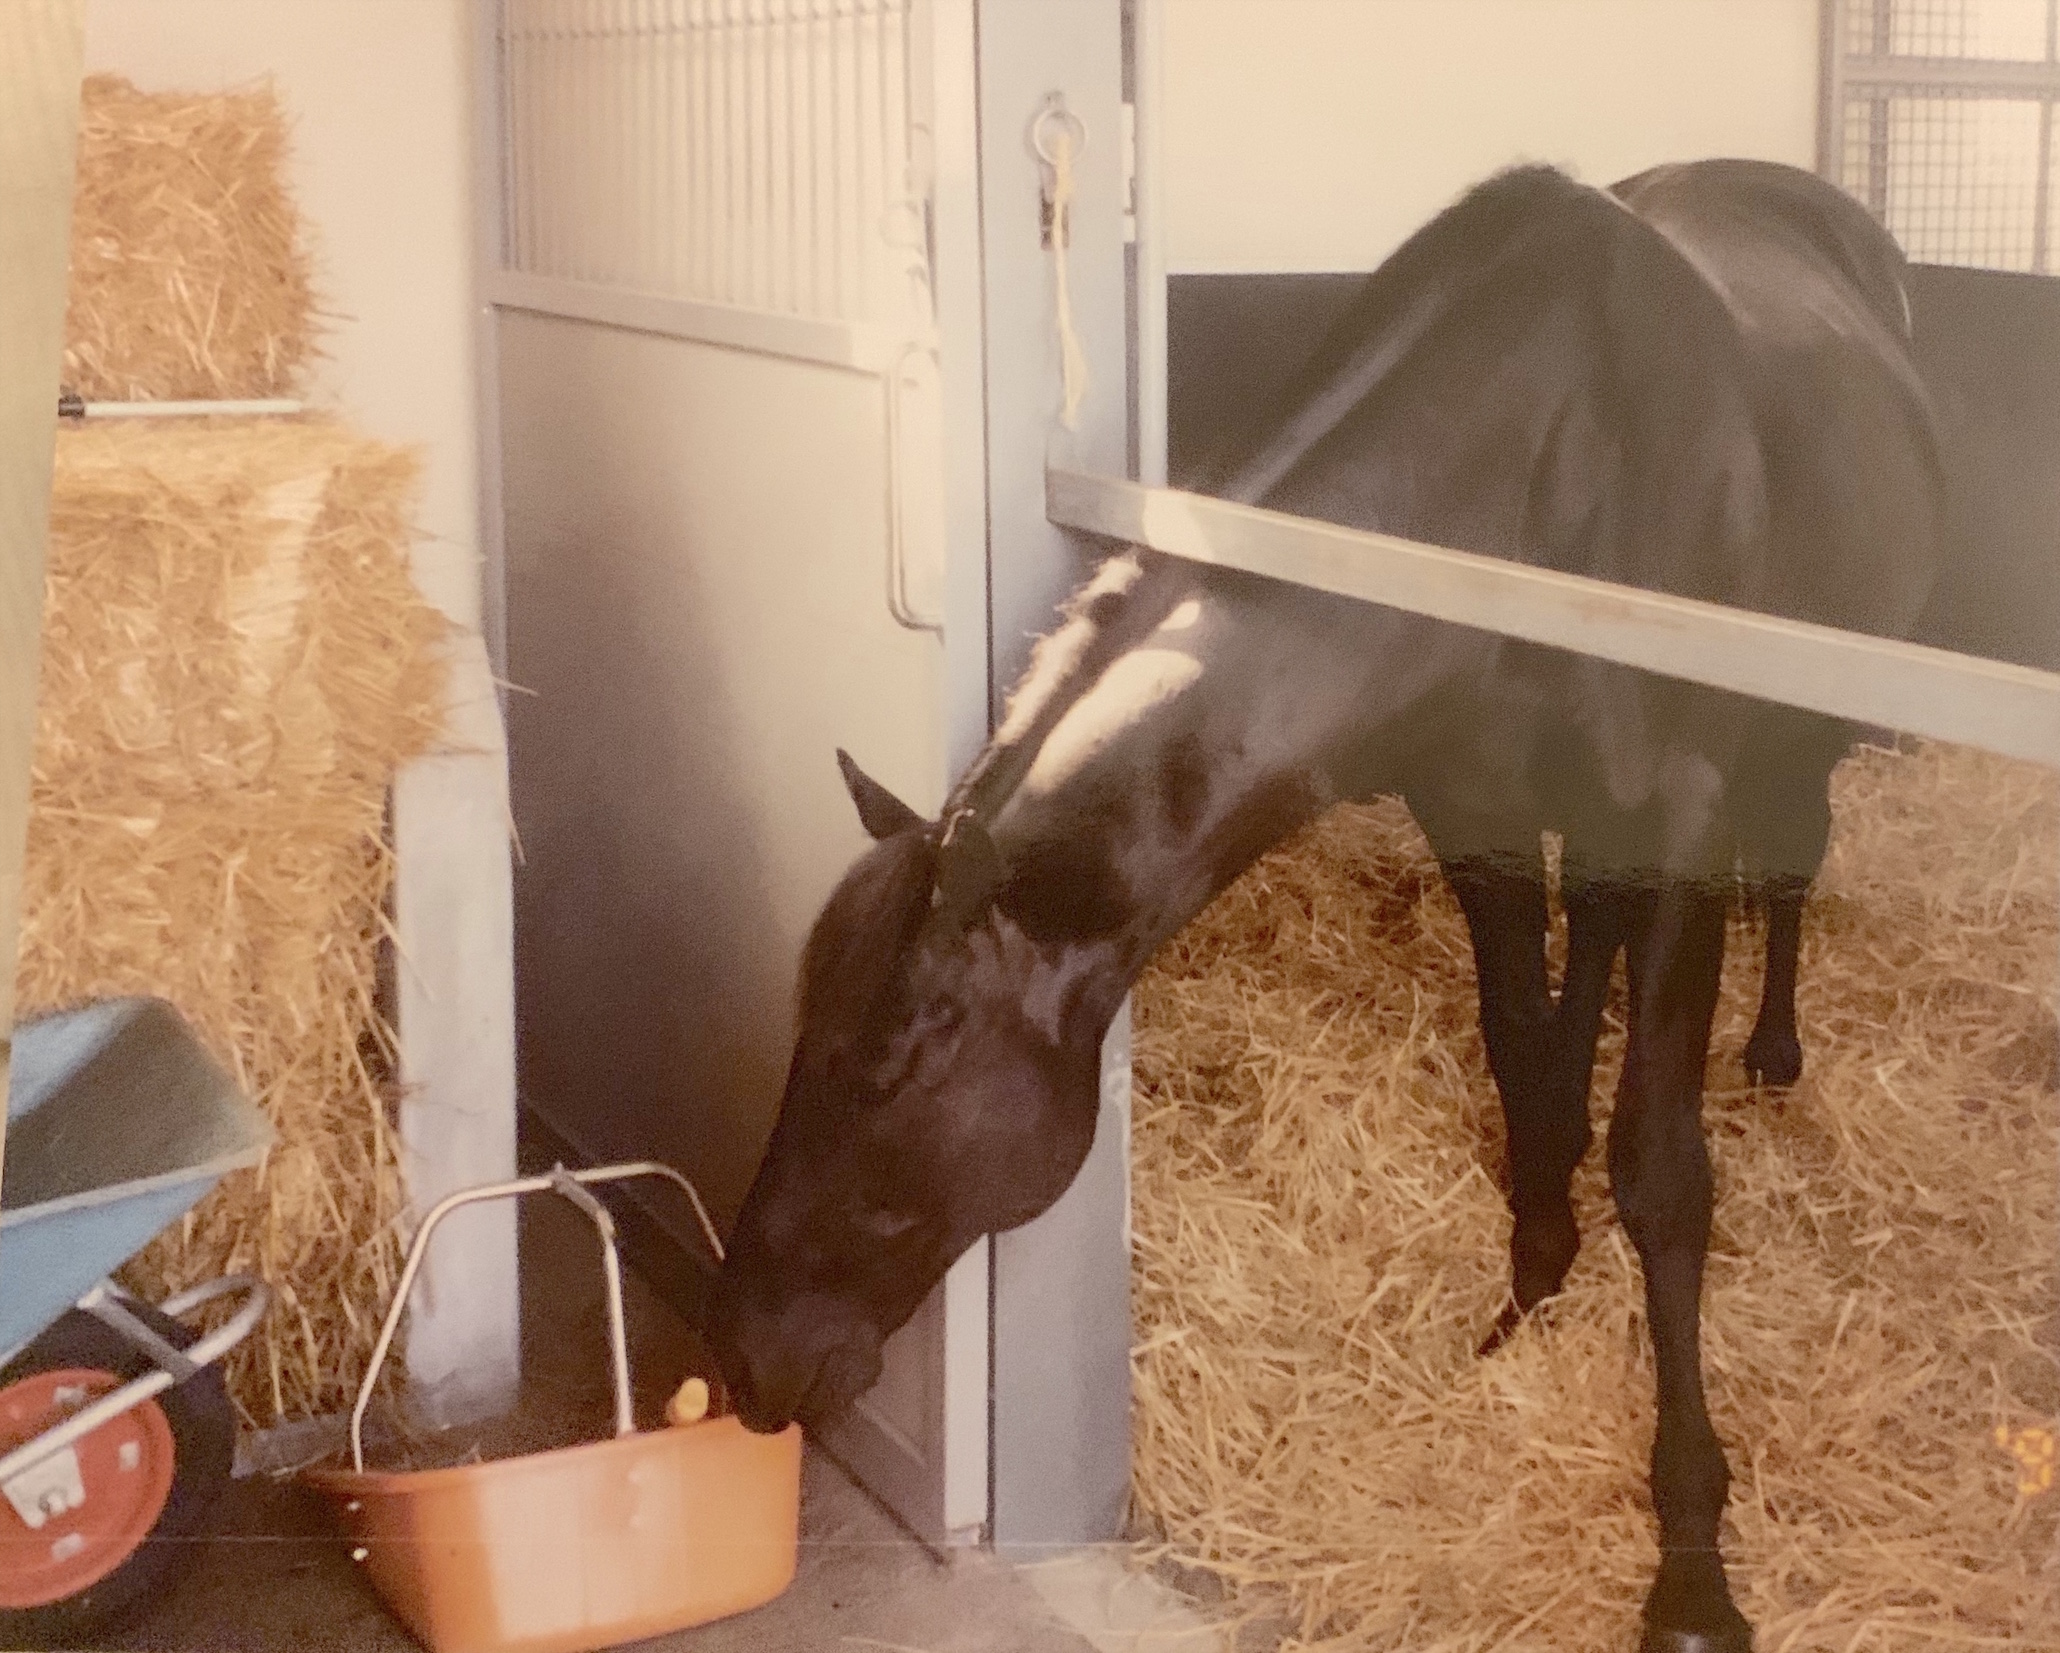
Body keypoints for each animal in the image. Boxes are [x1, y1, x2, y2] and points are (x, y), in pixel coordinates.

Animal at [708, 163, 1944, 1648]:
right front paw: (1528, 1294)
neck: (1533, 488)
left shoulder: (1682, 831)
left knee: (1795, 857)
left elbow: (1663, 1173)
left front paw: (1692, 1561)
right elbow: (1522, 1072)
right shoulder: (1475, 817)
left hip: (1793, 742)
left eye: (891, 1063)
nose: (742, 1352)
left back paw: (1771, 1047)